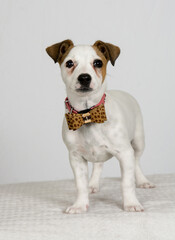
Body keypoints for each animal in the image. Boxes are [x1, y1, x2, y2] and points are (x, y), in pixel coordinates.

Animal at [45, 39, 155, 214]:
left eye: (97, 63)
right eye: (69, 63)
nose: (84, 77)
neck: (87, 114)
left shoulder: (125, 153)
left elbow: (127, 183)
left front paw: (131, 203)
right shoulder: (76, 157)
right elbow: (80, 185)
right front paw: (80, 204)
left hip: (138, 142)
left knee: (137, 162)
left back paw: (143, 181)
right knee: (98, 165)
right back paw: (93, 184)